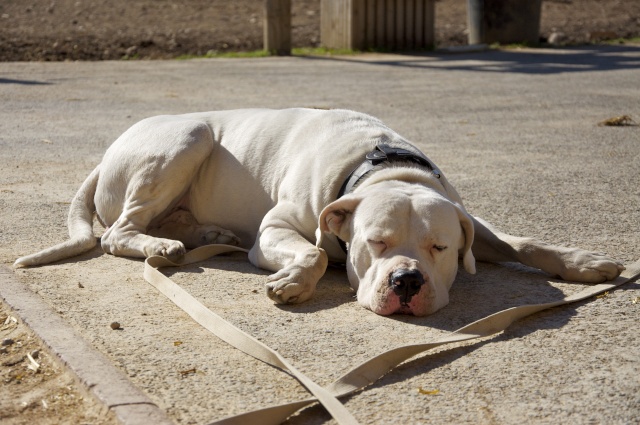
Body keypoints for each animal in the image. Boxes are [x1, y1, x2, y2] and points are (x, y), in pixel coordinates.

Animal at [16, 108, 624, 314]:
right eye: (374, 243)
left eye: (441, 248)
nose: (407, 281)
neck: (384, 166)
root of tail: (107, 152)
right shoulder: (277, 228)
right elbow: (309, 252)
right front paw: (292, 282)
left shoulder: (470, 220)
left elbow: (522, 242)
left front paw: (584, 262)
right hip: (187, 136)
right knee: (117, 232)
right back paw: (163, 246)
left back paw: (203, 233)